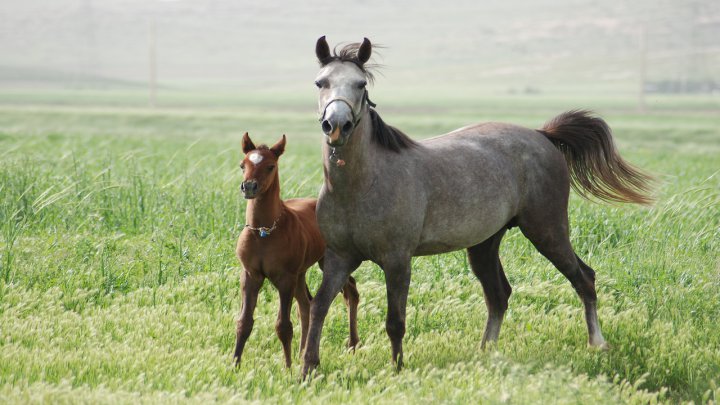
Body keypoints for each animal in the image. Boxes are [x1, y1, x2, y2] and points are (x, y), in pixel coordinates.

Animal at [233, 133, 360, 366]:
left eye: (270, 166)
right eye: (242, 165)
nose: (249, 187)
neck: (263, 232)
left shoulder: (285, 279)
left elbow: (283, 326)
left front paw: (288, 367)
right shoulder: (250, 275)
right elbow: (244, 322)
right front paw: (234, 365)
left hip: (326, 263)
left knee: (351, 293)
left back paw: (353, 344)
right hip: (302, 273)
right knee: (306, 304)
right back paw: (303, 352)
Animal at [300, 36, 656, 378]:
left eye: (361, 84)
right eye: (320, 82)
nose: (337, 125)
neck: (361, 186)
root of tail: (542, 135)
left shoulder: (397, 260)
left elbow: (395, 321)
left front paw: (397, 370)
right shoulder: (339, 258)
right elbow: (319, 306)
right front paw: (308, 369)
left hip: (548, 231)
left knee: (584, 278)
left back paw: (597, 344)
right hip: (485, 244)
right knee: (499, 296)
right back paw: (486, 352)